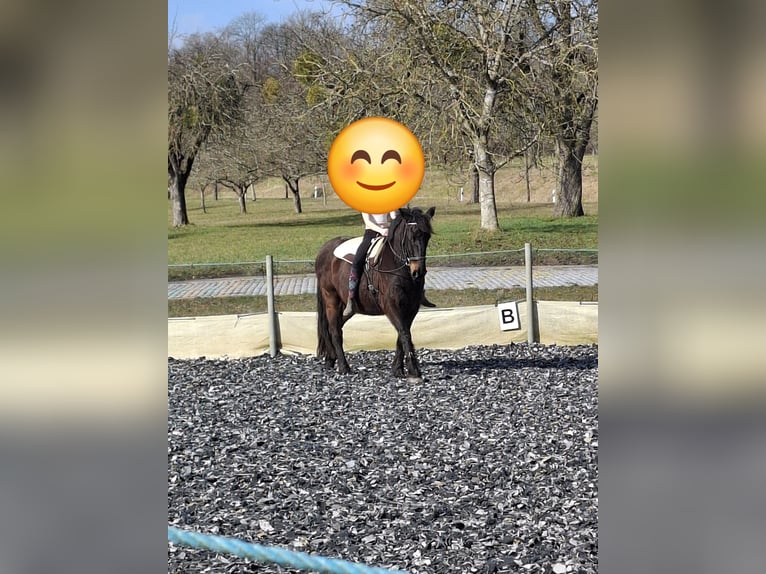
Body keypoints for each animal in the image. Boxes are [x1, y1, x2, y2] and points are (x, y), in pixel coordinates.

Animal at [315, 206, 436, 381]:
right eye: (411, 236)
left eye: (427, 236)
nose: (418, 272)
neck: (398, 266)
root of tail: (324, 250)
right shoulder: (391, 306)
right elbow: (404, 334)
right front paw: (414, 371)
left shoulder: (411, 308)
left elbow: (402, 334)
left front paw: (397, 369)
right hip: (331, 299)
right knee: (335, 330)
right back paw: (344, 367)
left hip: (347, 306)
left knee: (338, 325)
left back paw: (331, 359)